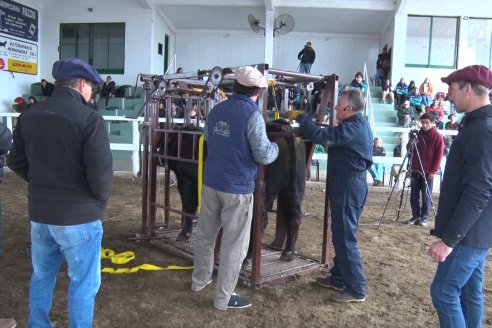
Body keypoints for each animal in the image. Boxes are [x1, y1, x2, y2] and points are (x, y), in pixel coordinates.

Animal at [161, 120, 306, 262]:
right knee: (293, 216)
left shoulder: (186, 180)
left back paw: (248, 258)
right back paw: (288, 252)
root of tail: (283, 128)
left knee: (259, 223)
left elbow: (188, 207)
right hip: (292, 189)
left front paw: (184, 233)